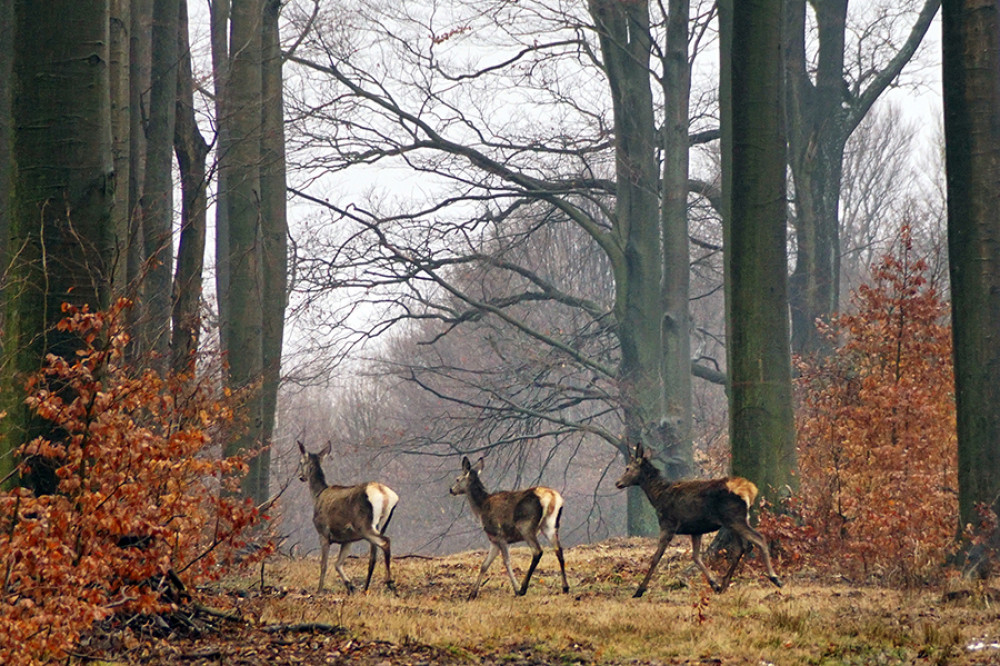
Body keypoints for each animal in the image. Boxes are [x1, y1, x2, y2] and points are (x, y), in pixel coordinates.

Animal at [296, 440, 398, 592]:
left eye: (301, 461)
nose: (301, 477)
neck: (318, 495)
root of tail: (384, 494)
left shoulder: (323, 532)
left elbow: (324, 564)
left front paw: (319, 590)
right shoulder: (347, 538)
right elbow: (337, 564)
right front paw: (350, 586)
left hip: (364, 525)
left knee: (385, 542)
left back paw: (389, 582)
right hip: (381, 524)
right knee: (373, 556)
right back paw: (366, 588)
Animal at [448, 456, 568, 596]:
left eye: (457, 479)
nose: (451, 489)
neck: (481, 508)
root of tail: (552, 498)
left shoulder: (499, 534)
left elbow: (506, 561)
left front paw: (515, 588)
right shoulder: (493, 539)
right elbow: (484, 564)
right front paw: (472, 593)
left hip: (525, 525)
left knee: (537, 551)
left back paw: (523, 588)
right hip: (550, 525)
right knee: (558, 550)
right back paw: (565, 587)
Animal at [612, 440, 784, 596]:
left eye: (628, 468)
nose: (617, 482)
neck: (657, 497)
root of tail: (750, 490)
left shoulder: (668, 524)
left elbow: (656, 557)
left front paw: (639, 590)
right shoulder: (696, 530)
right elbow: (695, 557)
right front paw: (714, 583)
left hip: (735, 518)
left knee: (759, 538)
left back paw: (775, 578)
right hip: (734, 521)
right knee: (740, 548)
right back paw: (724, 584)